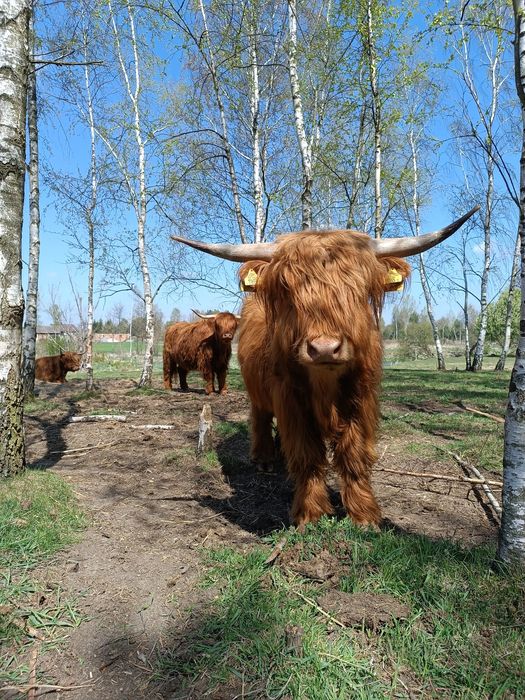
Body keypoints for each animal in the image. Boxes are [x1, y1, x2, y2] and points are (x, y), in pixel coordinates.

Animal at [171, 207, 478, 528]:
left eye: (358, 288)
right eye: (287, 289)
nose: (324, 349)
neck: (325, 382)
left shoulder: (361, 401)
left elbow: (354, 456)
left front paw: (364, 516)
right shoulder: (291, 401)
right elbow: (307, 456)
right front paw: (310, 514)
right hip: (257, 390)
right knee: (260, 418)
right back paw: (265, 459)